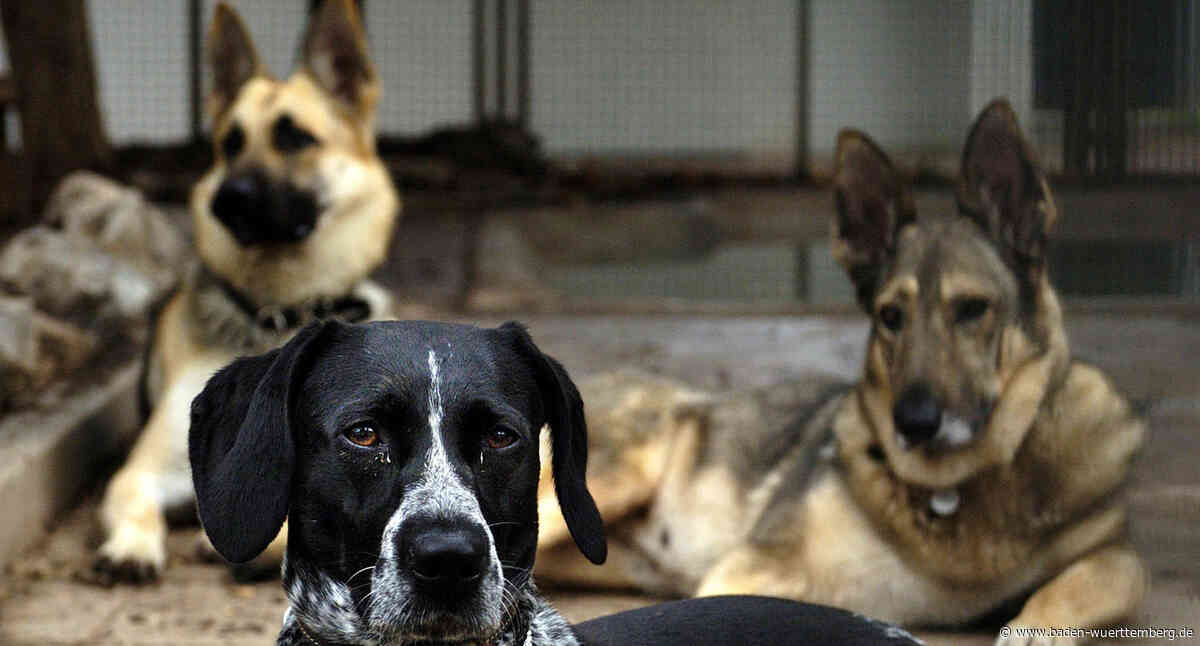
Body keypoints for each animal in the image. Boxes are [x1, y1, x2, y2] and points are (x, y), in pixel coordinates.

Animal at [91, 0, 398, 581]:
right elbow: (134, 498)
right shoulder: (145, 470)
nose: (227, 200)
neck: (279, 313)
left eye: (295, 138)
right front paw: (132, 547)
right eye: (230, 144)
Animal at [535, 100, 1142, 638]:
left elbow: (1095, 581)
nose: (913, 423)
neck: (953, 493)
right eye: (891, 317)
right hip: (615, 477)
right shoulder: (748, 570)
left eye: (972, 309)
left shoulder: (1113, 552)